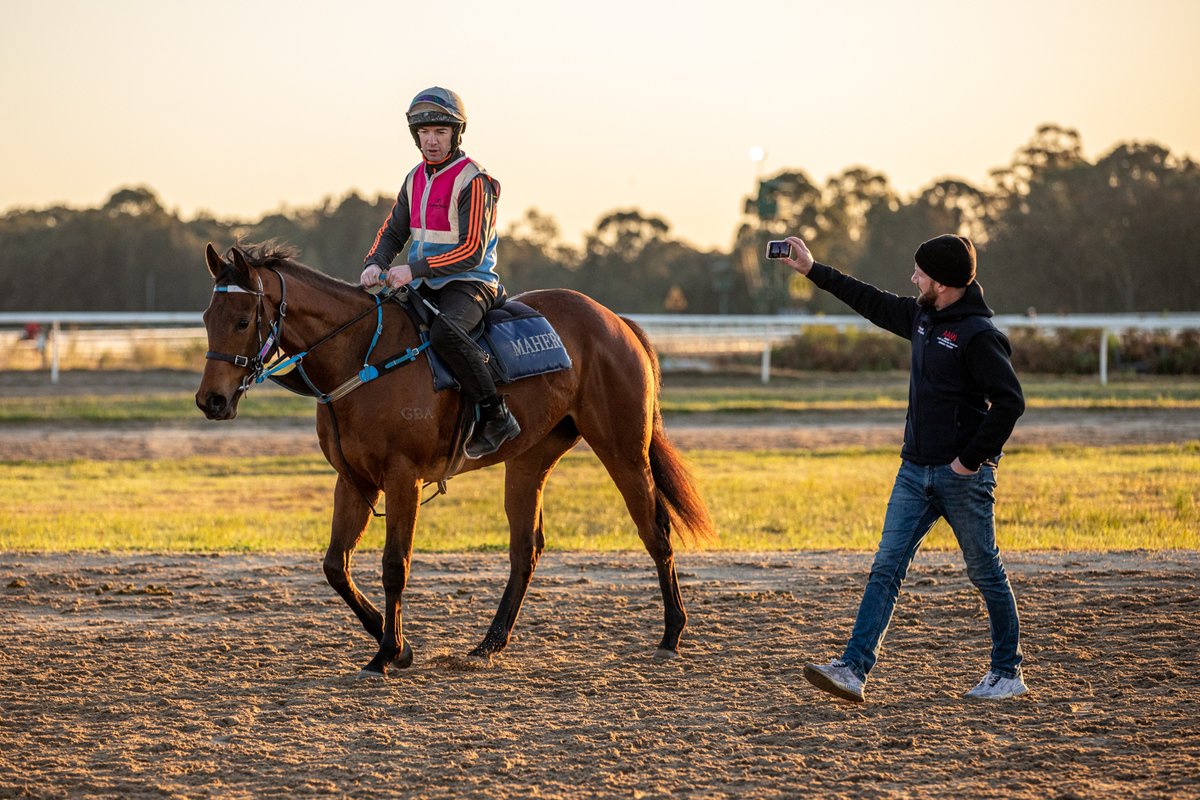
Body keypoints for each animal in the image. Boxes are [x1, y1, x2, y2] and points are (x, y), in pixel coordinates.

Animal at [196, 242, 710, 676]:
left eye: (242, 320)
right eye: (206, 317)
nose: (211, 401)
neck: (363, 356)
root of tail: (614, 320)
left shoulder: (401, 477)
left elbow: (394, 565)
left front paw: (386, 652)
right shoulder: (353, 479)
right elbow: (335, 566)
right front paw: (397, 646)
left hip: (624, 451)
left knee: (655, 531)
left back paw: (671, 634)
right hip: (529, 461)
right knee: (525, 549)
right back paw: (490, 643)